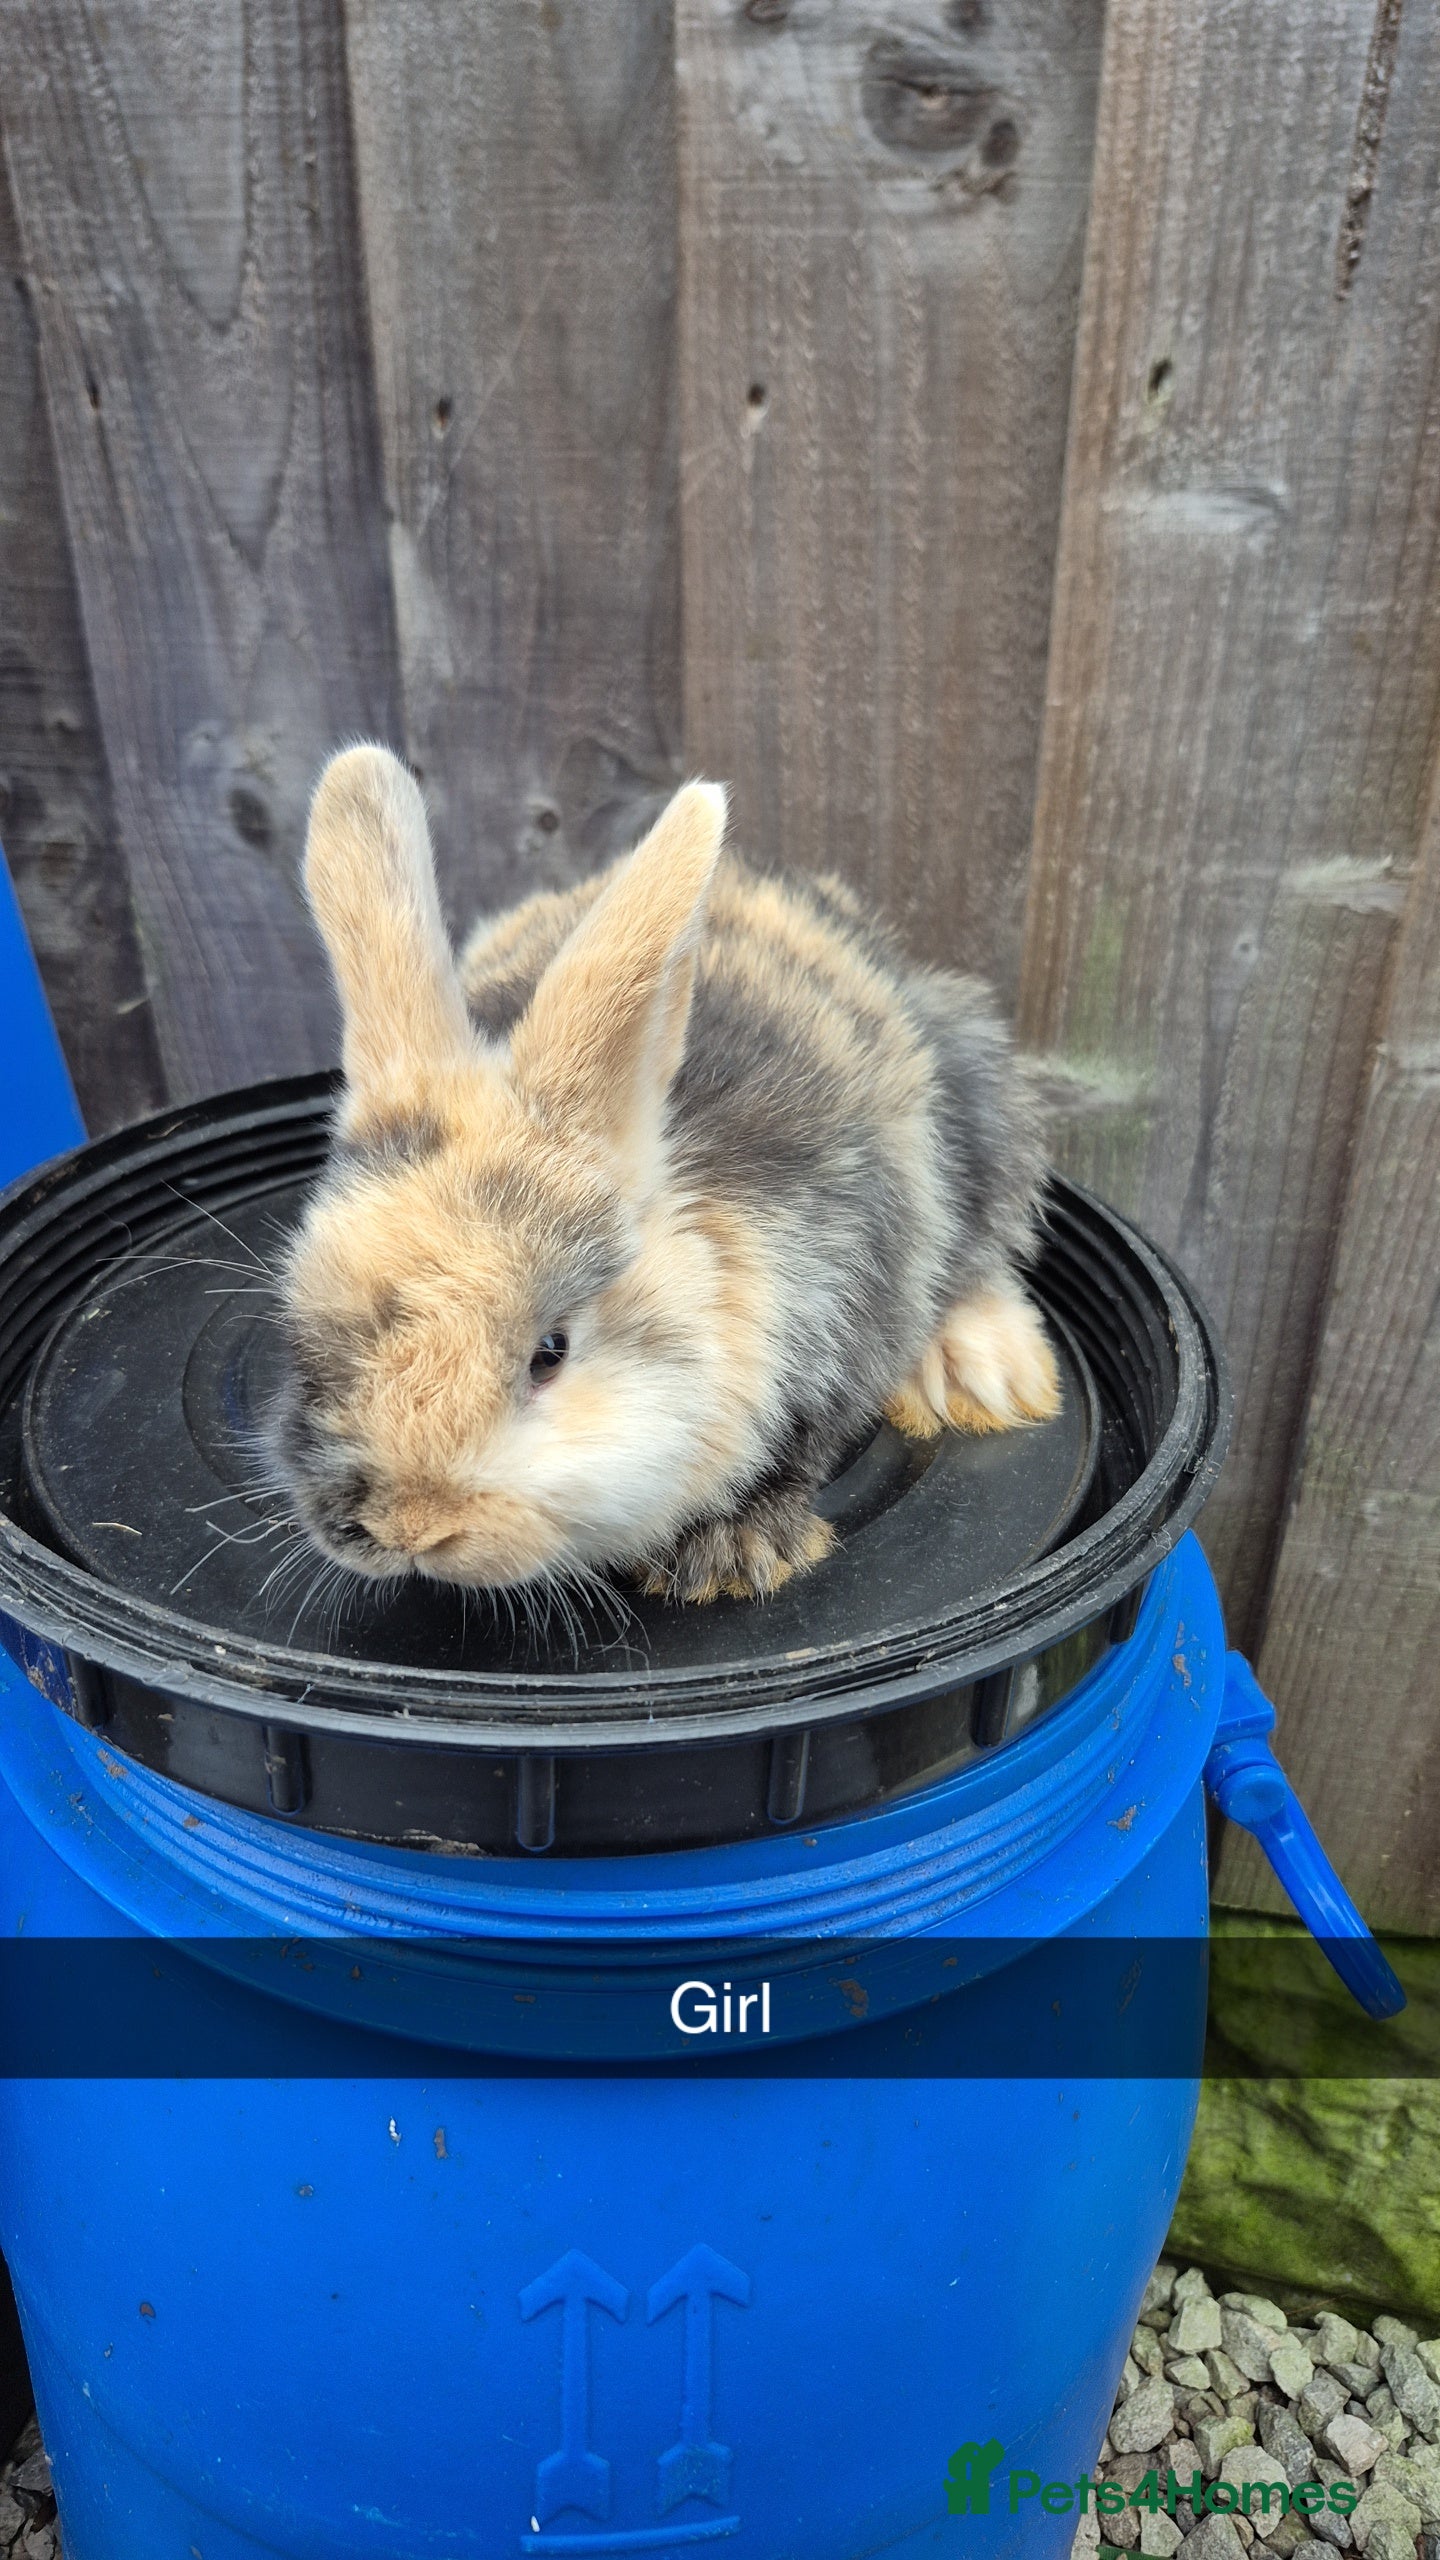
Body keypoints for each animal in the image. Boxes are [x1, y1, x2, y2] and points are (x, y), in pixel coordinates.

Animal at [269, 742, 1060, 1605]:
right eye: (304, 1334)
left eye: (551, 1351)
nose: (411, 1529)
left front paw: (732, 1557)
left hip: (981, 1093)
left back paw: (990, 1376)